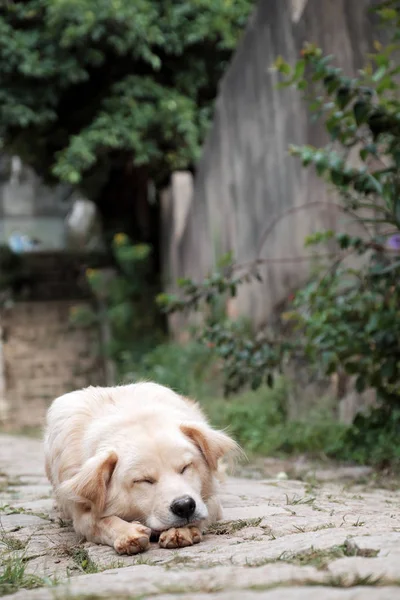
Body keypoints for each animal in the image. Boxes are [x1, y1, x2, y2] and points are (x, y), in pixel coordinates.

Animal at [43, 382, 238, 556]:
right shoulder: (81, 513)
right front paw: (127, 533)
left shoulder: (210, 500)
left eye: (185, 467)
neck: (130, 417)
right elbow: (99, 521)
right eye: (144, 480)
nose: (184, 506)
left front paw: (184, 530)